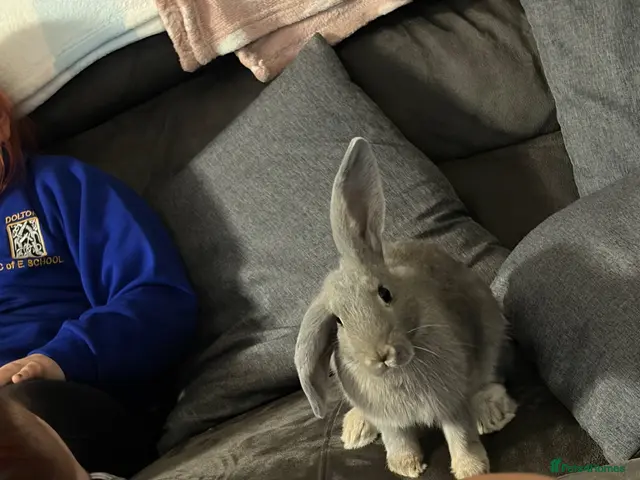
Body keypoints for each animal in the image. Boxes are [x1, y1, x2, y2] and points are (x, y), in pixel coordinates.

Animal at [294, 137, 517, 479]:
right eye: (339, 322)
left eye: (385, 293)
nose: (381, 355)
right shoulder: (390, 420)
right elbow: (397, 439)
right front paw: (407, 467)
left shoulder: (450, 400)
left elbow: (461, 434)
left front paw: (472, 471)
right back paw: (356, 431)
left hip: (493, 335)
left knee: (490, 378)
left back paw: (491, 414)